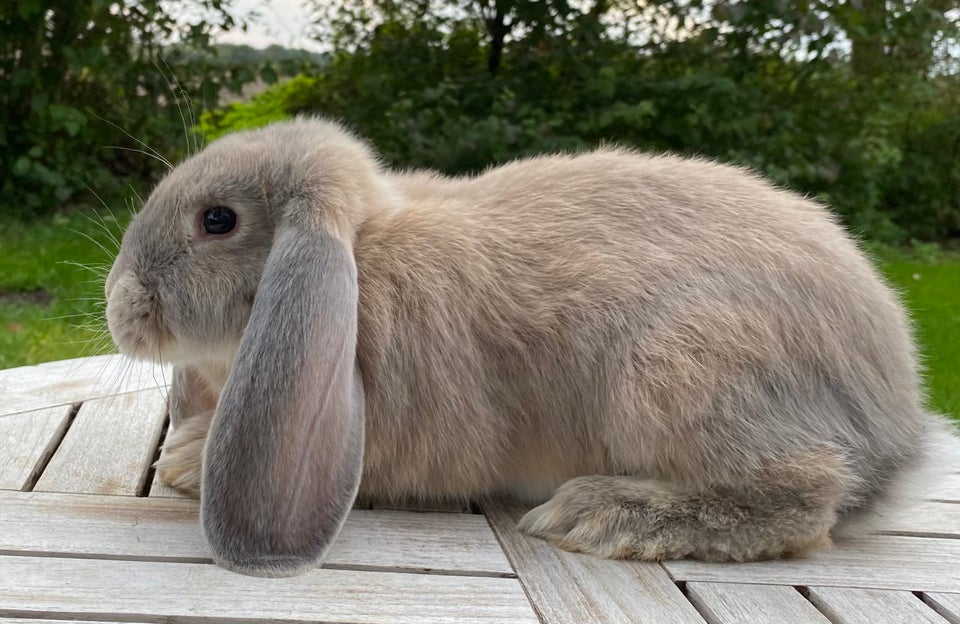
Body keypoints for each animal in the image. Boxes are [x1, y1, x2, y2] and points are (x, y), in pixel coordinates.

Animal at [101, 116, 956, 576]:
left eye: (217, 221)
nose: (119, 305)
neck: (365, 256)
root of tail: (896, 436)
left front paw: (186, 462)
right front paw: (186, 453)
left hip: (680, 371)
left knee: (806, 496)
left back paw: (603, 515)